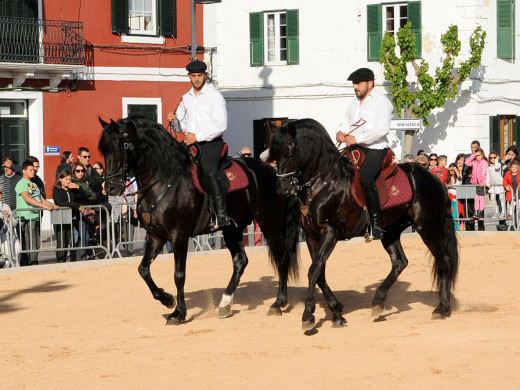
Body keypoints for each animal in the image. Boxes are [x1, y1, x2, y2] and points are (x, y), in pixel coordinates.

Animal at [99, 116, 298, 322]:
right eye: (104, 150)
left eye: (120, 148)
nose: (111, 188)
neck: (164, 181)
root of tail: (275, 173)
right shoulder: (155, 236)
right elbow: (143, 269)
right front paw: (166, 299)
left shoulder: (178, 236)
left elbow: (179, 274)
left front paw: (179, 312)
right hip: (233, 229)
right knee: (240, 261)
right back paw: (225, 304)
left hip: (270, 223)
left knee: (282, 258)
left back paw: (278, 303)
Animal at [268, 118, 460, 330]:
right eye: (273, 155)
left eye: (288, 153)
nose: (282, 188)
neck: (324, 182)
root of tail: (436, 180)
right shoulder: (311, 236)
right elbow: (320, 273)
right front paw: (336, 313)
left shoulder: (330, 233)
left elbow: (314, 270)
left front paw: (308, 316)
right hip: (391, 231)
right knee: (400, 262)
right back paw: (378, 302)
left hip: (428, 228)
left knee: (445, 261)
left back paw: (442, 308)